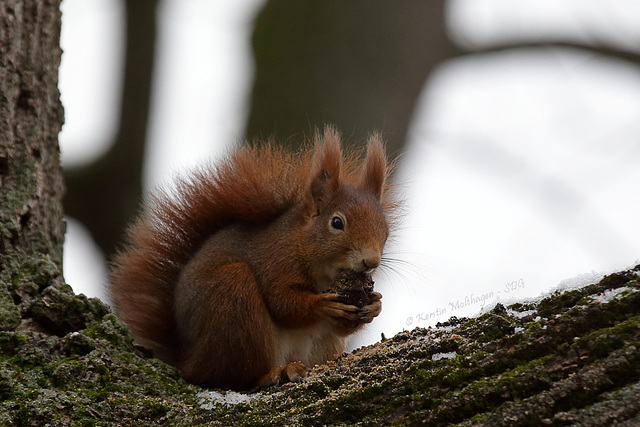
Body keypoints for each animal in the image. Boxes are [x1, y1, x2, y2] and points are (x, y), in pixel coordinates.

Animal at [107, 127, 392, 392]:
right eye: (337, 223)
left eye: (385, 229)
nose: (371, 262)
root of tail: (189, 361)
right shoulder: (274, 259)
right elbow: (282, 302)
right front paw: (322, 305)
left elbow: (343, 326)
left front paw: (376, 305)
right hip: (233, 298)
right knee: (231, 375)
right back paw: (271, 374)